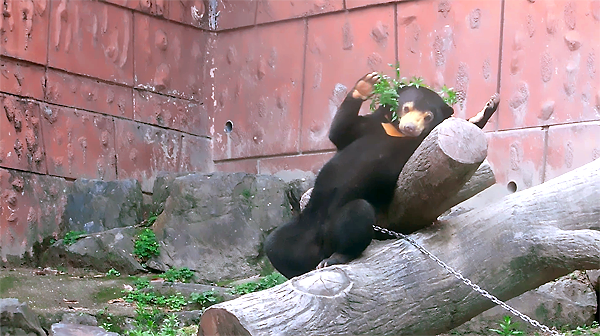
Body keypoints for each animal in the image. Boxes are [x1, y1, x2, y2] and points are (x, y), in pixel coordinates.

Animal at [264, 73, 500, 278]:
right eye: (407, 107)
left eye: (428, 116)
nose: (410, 127)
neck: (396, 132)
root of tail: (322, 245)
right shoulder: (368, 126)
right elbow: (340, 131)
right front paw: (367, 83)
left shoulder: (417, 145)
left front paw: (487, 108)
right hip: (304, 225)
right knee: (275, 244)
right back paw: (297, 271)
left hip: (350, 216)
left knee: (357, 216)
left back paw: (335, 258)